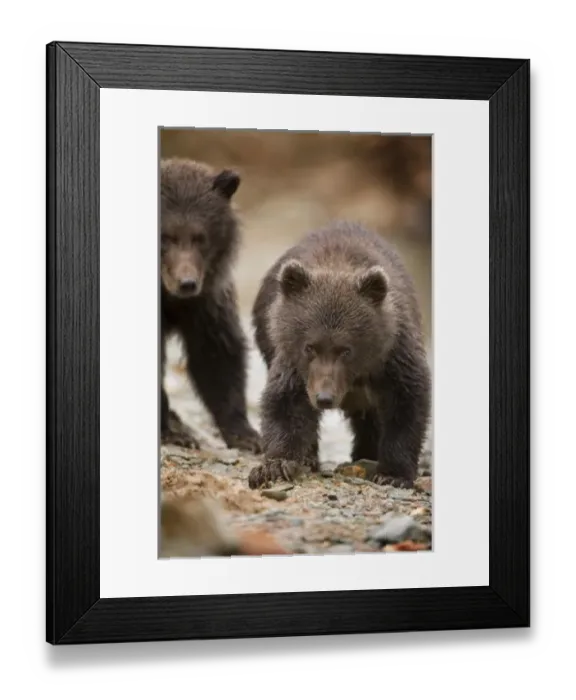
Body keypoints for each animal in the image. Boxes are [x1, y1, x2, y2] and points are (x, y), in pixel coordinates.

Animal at [160, 157, 261, 454]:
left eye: (200, 237)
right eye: (165, 237)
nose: (187, 283)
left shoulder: (207, 302)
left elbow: (216, 355)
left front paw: (245, 434)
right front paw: (172, 433)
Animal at [248, 220, 431, 489]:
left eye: (346, 349)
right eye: (310, 347)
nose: (324, 398)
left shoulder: (393, 355)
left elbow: (407, 403)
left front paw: (393, 475)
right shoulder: (294, 364)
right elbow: (285, 403)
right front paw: (275, 466)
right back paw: (311, 458)